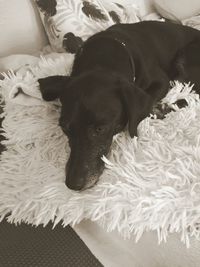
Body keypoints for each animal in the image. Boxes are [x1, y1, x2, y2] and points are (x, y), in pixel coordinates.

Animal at [38, 22, 200, 192]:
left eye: (100, 129)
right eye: (64, 128)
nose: (73, 184)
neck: (101, 59)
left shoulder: (161, 81)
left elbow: (150, 99)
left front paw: (158, 109)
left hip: (185, 57)